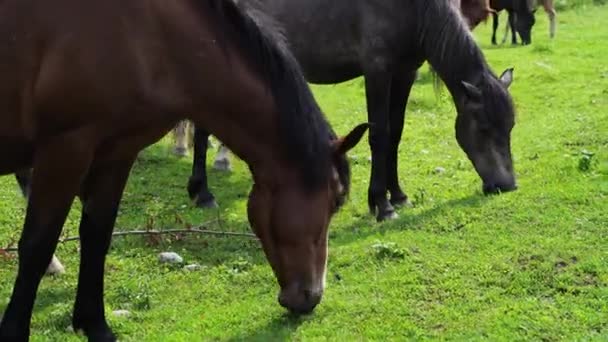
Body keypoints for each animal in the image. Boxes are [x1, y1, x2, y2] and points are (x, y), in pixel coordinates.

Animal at [0, 0, 366, 340]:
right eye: (336, 200)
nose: (311, 297)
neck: (148, 35)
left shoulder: (116, 154)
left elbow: (97, 236)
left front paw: (96, 326)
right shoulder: (66, 150)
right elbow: (36, 246)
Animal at [191, 0, 524, 219]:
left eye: (509, 128)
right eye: (484, 128)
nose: (507, 185)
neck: (414, 9)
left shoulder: (405, 72)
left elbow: (395, 134)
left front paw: (398, 196)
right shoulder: (377, 70)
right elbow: (379, 135)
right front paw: (382, 204)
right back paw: (202, 193)